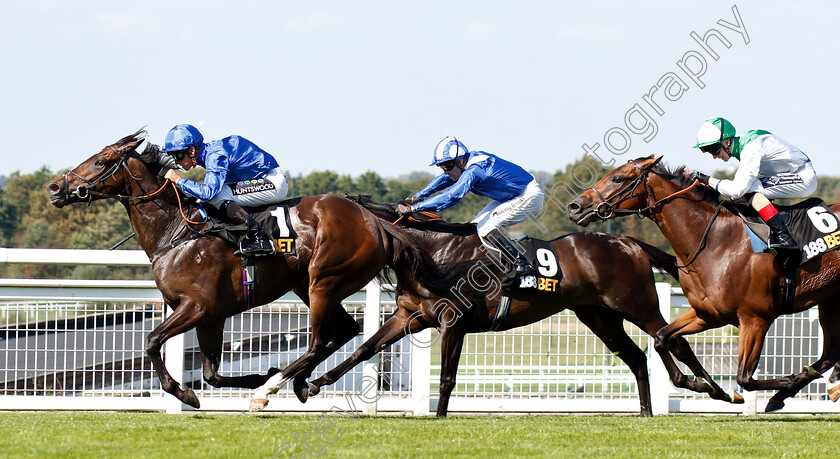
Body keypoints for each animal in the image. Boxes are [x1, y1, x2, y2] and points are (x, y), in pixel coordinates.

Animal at [46, 128, 452, 410]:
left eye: (100, 162)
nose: (54, 188)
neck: (177, 232)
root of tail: (373, 220)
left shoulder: (196, 307)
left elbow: (152, 341)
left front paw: (184, 392)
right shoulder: (211, 315)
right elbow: (210, 373)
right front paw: (251, 375)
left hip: (324, 281)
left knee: (319, 341)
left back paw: (270, 390)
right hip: (310, 286)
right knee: (344, 332)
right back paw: (298, 383)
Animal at [290, 196, 740, 418]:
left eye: (314, 230)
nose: (309, 268)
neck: (435, 254)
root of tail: (628, 242)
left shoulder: (452, 323)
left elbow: (447, 378)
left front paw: (439, 418)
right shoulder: (409, 316)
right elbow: (366, 348)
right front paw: (311, 384)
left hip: (638, 305)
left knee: (672, 340)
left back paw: (713, 389)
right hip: (599, 316)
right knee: (635, 356)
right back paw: (646, 412)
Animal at [568, 156, 840, 412]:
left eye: (618, 178)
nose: (575, 206)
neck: (715, 241)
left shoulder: (755, 318)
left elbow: (745, 378)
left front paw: (783, 383)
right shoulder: (708, 314)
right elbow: (662, 338)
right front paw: (701, 385)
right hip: (829, 300)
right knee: (829, 353)